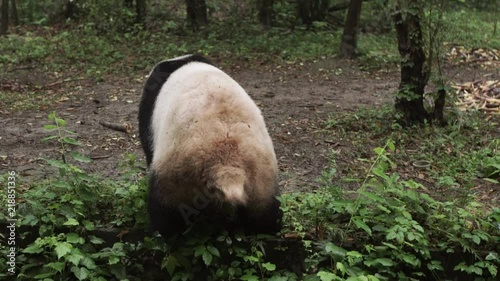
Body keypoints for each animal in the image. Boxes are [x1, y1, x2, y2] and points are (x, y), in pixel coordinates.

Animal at [139, 53, 284, 235]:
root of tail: (226, 165)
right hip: (261, 175)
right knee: (265, 213)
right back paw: (268, 229)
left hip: (176, 172)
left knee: (165, 210)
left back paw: (162, 232)